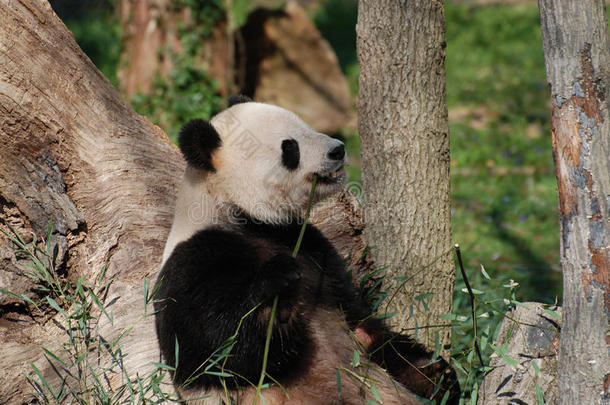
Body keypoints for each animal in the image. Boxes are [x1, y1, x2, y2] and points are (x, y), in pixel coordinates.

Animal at [154, 95, 458, 404]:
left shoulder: (310, 245)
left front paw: (432, 372)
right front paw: (276, 299)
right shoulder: (195, 260)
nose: (338, 149)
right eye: (290, 147)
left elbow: (363, 326)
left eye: (307, 126)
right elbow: (215, 353)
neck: (240, 213)